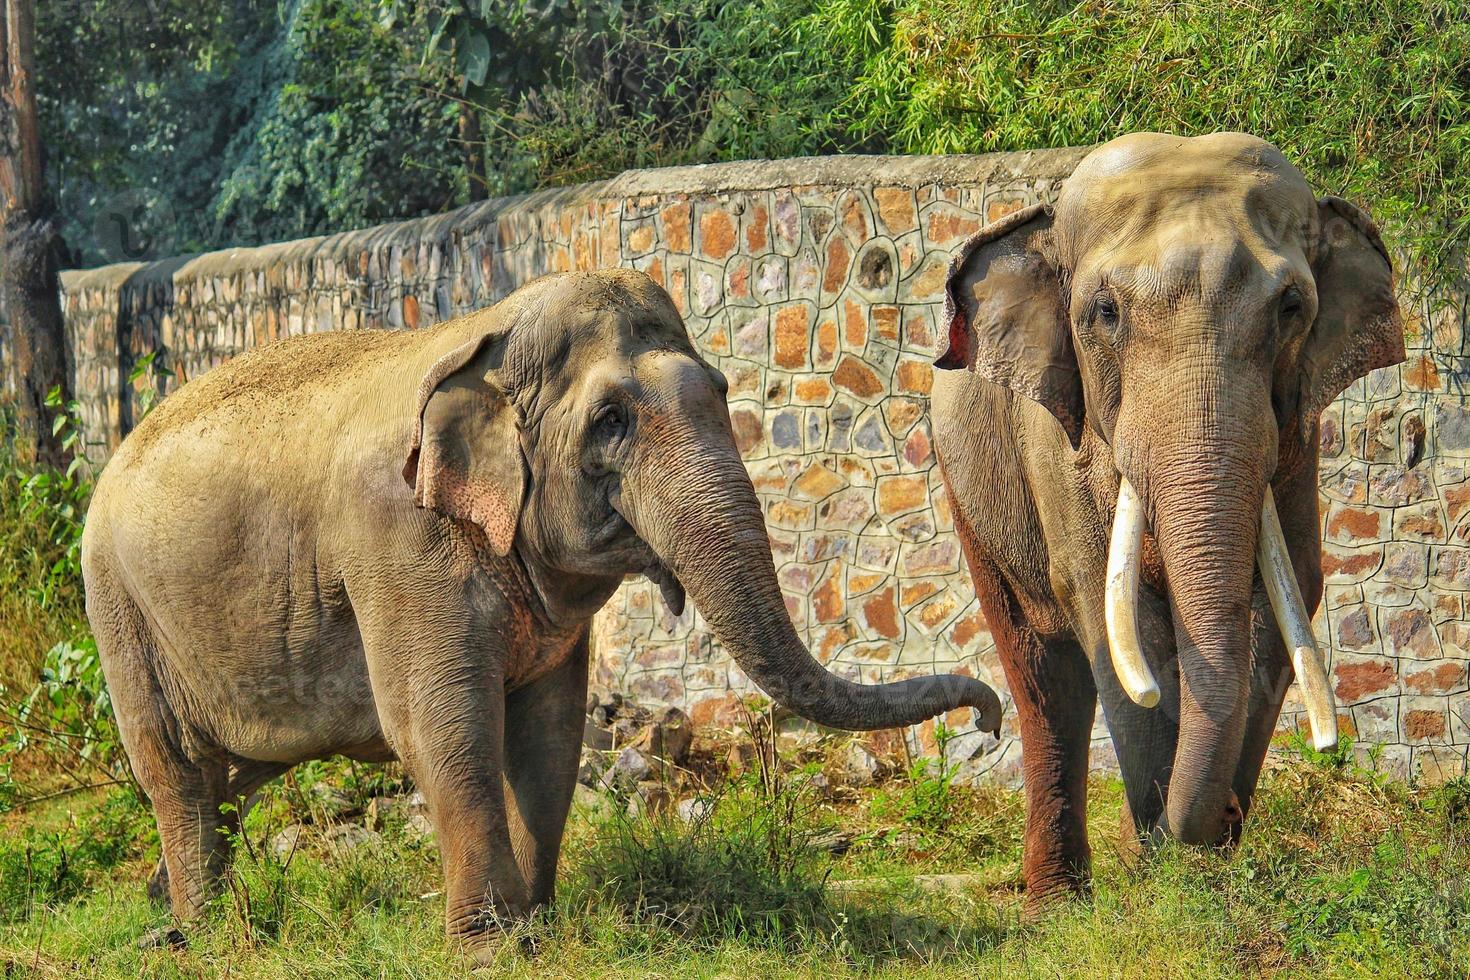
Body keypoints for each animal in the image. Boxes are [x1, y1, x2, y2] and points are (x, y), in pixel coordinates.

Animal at [80, 268, 999, 952]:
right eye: (611, 420)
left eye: (720, 390)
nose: (988, 718)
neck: (486, 333)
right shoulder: (397, 545)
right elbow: (443, 727)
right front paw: (488, 947)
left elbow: (551, 732)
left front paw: (536, 930)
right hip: (118, 610)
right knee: (174, 768)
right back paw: (206, 937)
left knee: (229, 778)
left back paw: (167, 914)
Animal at [934, 134, 1405, 910]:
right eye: (1103, 312)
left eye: (1292, 307)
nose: (1231, 814)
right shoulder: (1061, 447)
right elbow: (1116, 625)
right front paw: (1159, 876)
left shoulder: (1296, 442)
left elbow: (1278, 613)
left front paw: (1198, 867)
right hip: (970, 488)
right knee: (1047, 679)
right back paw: (1055, 903)